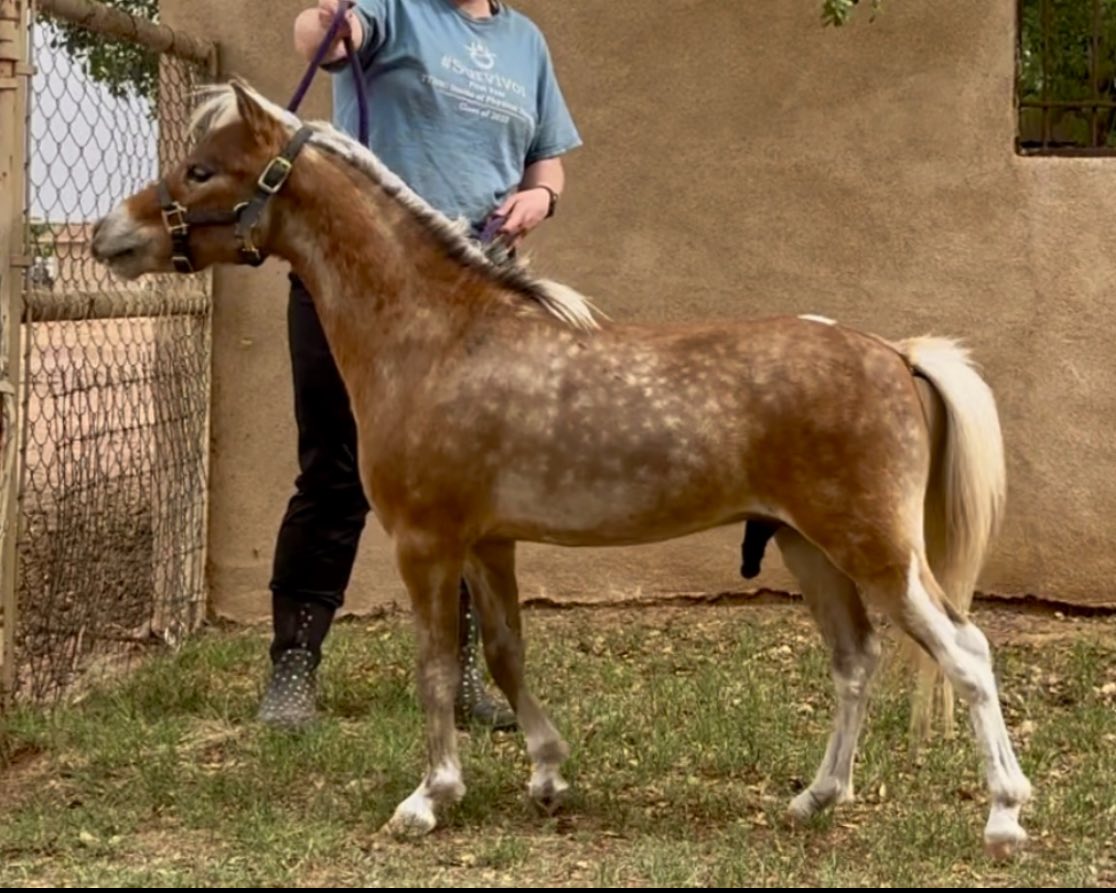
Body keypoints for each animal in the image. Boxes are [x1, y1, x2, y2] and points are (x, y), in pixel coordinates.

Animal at [90, 79, 1031, 857]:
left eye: (201, 168)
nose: (108, 236)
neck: (438, 335)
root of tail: (893, 353)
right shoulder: (488, 542)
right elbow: (505, 653)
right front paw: (546, 773)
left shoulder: (424, 542)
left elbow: (436, 664)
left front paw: (429, 797)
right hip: (810, 548)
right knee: (855, 662)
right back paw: (815, 798)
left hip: (876, 550)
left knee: (966, 651)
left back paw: (1003, 815)